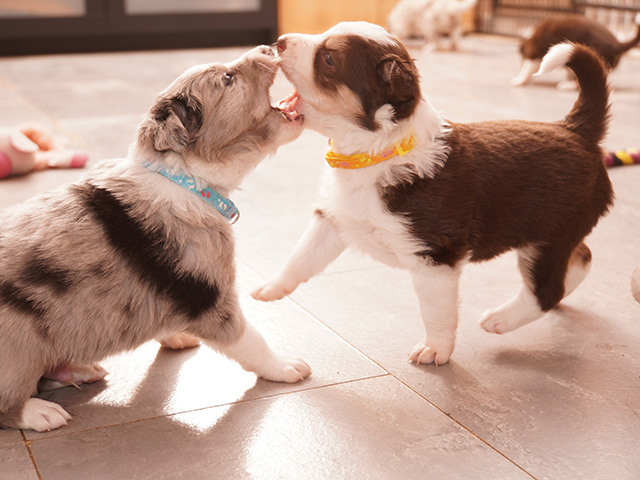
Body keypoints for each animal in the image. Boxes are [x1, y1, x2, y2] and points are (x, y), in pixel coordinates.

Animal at [0, 45, 310, 432]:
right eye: (227, 79)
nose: (270, 48)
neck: (186, 180)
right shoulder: (210, 296)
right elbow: (250, 339)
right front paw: (286, 367)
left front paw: (177, 334)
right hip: (18, 348)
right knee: (7, 403)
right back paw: (41, 411)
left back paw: (76, 370)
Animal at [252, 22, 613, 367]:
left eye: (328, 58)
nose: (279, 41)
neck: (374, 151)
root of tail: (576, 129)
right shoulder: (334, 219)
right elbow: (301, 256)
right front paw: (270, 288)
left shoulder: (434, 256)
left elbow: (436, 312)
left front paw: (434, 350)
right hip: (552, 237)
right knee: (581, 259)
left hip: (548, 237)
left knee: (547, 289)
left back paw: (499, 320)